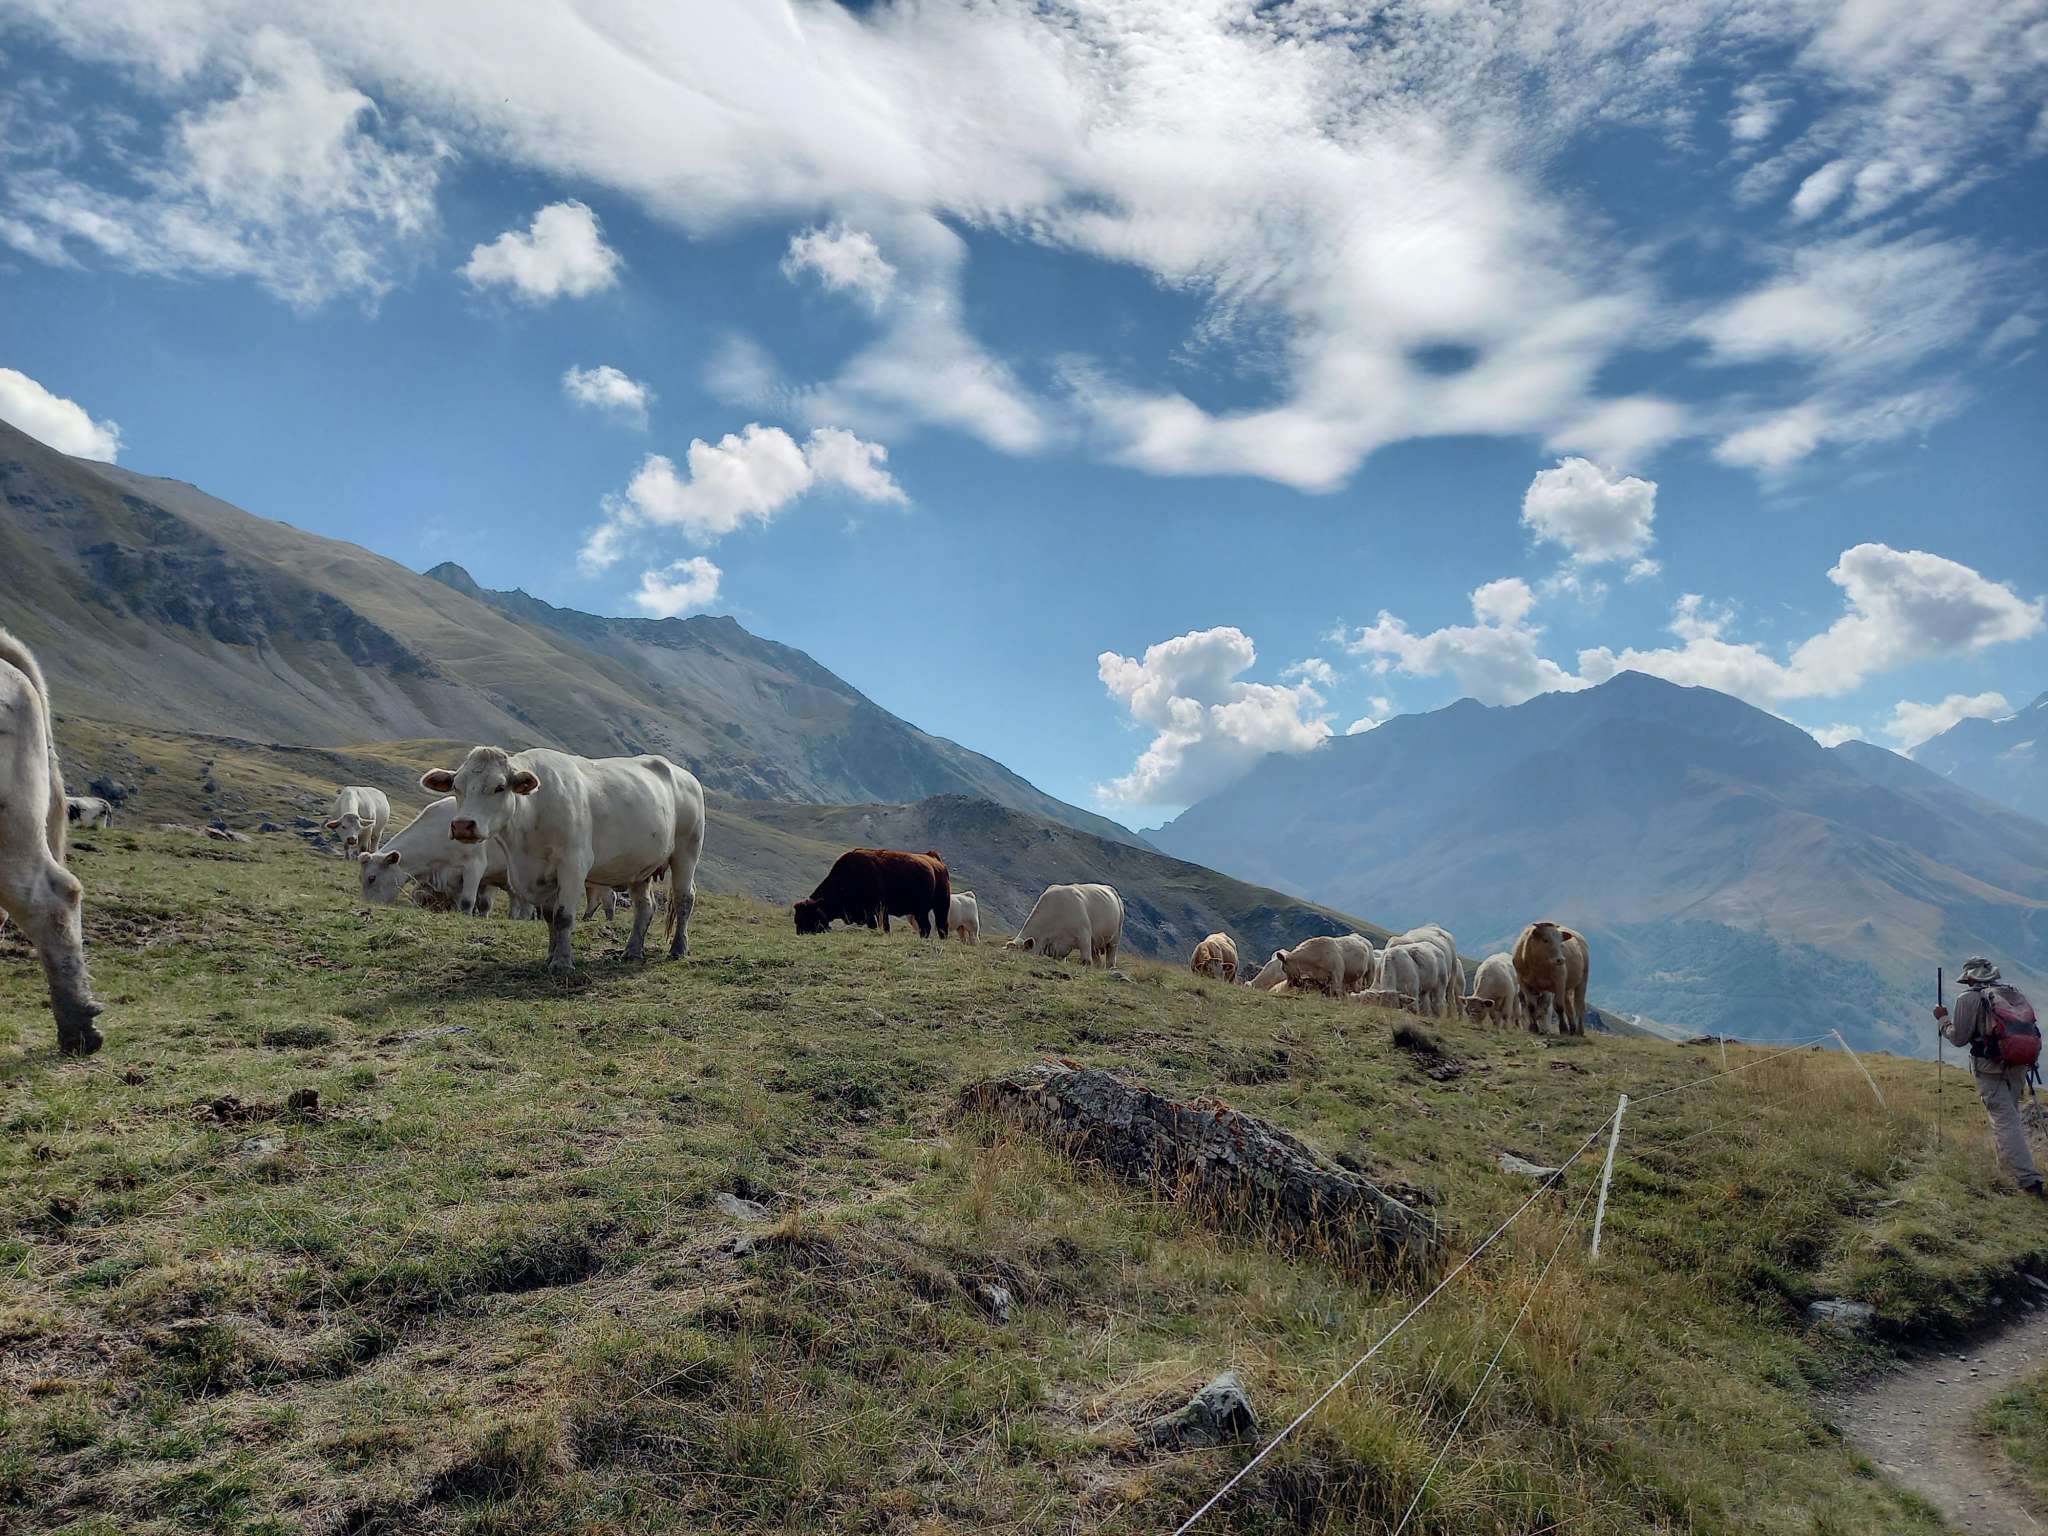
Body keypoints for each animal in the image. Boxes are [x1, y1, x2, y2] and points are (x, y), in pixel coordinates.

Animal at [421, 746, 705, 972]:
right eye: (456, 786)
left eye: (499, 787)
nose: (462, 825)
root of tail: (683, 774)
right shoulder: (539, 874)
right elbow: (549, 917)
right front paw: (550, 956)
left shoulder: (573, 866)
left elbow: (564, 916)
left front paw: (562, 963)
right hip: (639, 866)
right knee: (645, 906)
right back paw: (632, 951)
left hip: (686, 850)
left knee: (684, 899)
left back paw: (678, 949)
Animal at [793, 849, 951, 938]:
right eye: (796, 919)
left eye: (808, 916)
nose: (800, 933)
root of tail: (935, 861)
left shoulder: (878, 910)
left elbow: (883, 927)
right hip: (921, 911)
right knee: (927, 927)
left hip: (940, 906)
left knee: (941, 926)